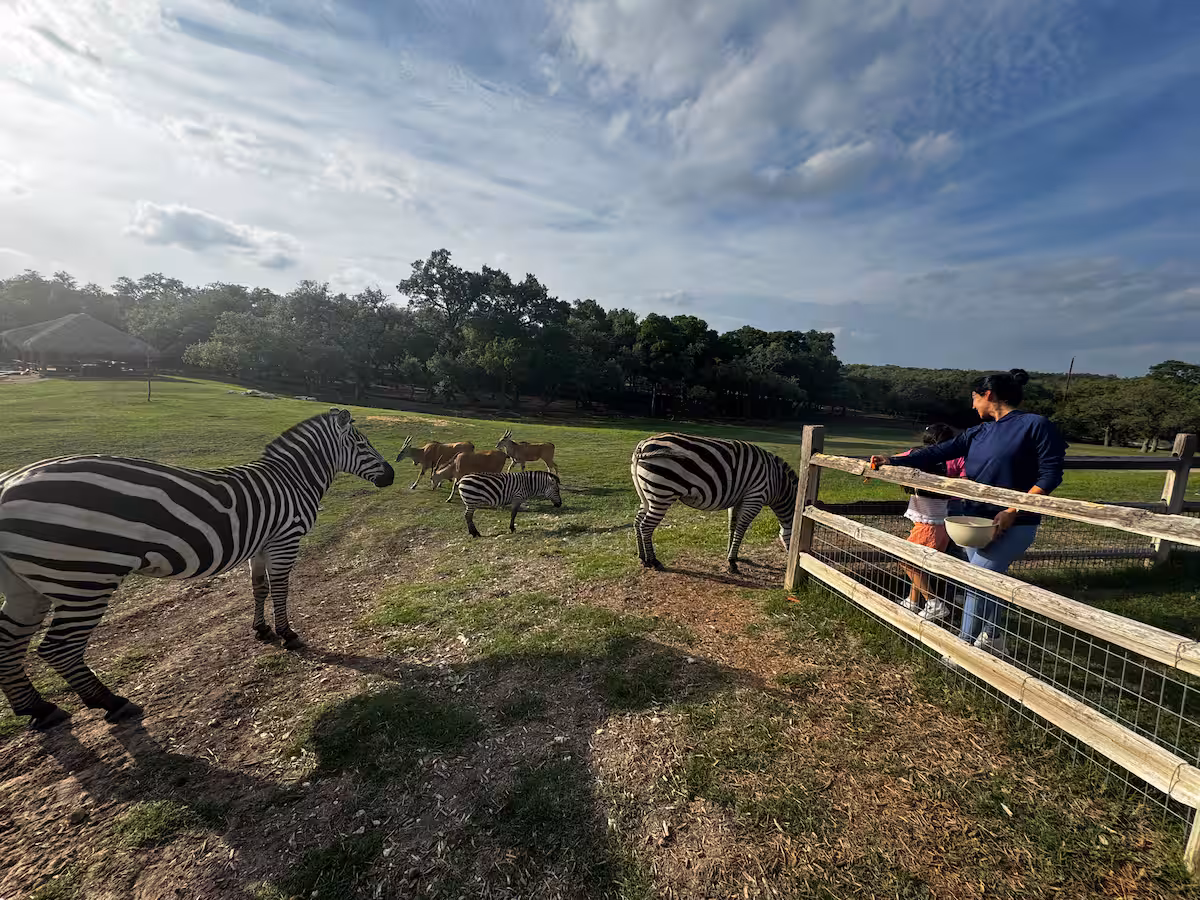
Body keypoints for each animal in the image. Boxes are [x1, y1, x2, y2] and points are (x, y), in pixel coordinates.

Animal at [0, 408, 394, 731]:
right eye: (363, 443)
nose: (390, 476)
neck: (293, 481)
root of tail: (9, 483)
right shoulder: (286, 539)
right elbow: (281, 588)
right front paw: (288, 634)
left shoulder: (262, 545)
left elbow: (260, 587)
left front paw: (261, 629)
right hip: (85, 576)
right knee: (58, 648)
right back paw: (111, 702)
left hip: (27, 583)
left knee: (9, 641)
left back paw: (39, 709)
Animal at [631, 433, 798, 574]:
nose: (791, 564)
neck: (777, 482)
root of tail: (643, 444)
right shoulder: (755, 497)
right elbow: (741, 529)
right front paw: (732, 563)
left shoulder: (738, 499)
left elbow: (733, 526)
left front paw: (731, 555)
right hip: (662, 494)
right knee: (646, 526)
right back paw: (654, 561)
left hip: (646, 495)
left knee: (638, 522)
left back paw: (642, 558)